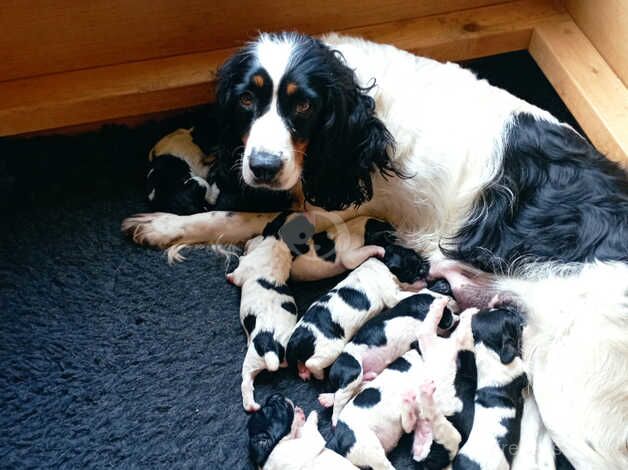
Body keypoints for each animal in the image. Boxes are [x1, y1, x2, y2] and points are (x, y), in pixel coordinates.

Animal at [226, 231, 296, 412]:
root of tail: (272, 343)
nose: (248, 239)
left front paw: (229, 275)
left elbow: (235, 274)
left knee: (246, 382)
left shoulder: (242, 271)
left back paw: (250, 405)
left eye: (259, 236)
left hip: (251, 360)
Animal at [286, 244, 430, 380]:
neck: (383, 263)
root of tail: (295, 339)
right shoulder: (391, 296)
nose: (426, 266)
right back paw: (319, 374)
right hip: (331, 348)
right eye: (413, 266)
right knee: (312, 363)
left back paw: (303, 372)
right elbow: (405, 294)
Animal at [318, 292, 456, 424]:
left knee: (351, 390)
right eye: (449, 315)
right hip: (353, 372)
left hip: (359, 379)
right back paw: (335, 419)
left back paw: (327, 399)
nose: (456, 317)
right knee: (340, 397)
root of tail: (332, 371)